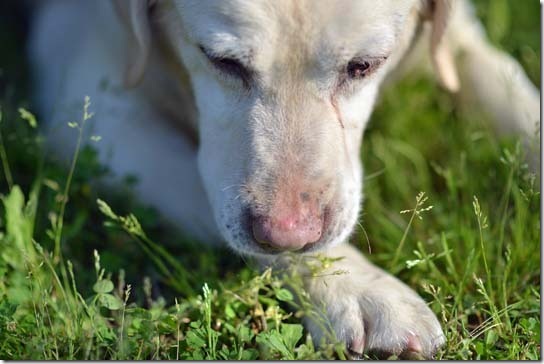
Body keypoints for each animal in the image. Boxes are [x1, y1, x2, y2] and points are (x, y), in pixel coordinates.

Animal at [26, 0, 540, 358]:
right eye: (222, 61)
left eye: (365, 65)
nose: (285, 235)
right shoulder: (103, 119)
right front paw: (357, 285)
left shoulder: (463, 40)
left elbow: (518, 104)